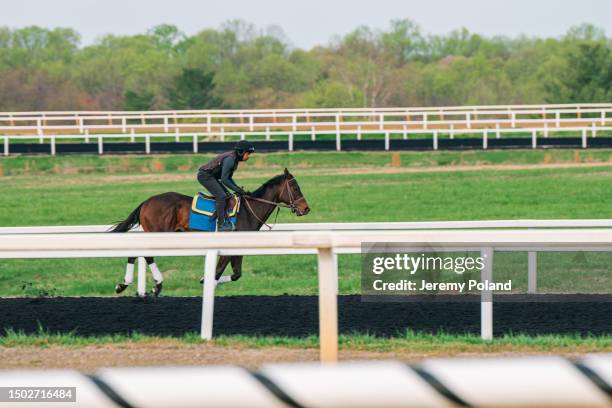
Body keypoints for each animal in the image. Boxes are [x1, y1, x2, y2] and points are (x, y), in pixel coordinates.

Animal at [109, 169, 310, 296]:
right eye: (295, 188)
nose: (306, 209)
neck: (248, 210)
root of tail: (147, 201)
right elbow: (218, 272)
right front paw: (206, 281)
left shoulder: (238, 248)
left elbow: (236, 274)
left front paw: (205, 279)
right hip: (159, 233)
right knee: (147, 255)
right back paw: (156, 285)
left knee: (136, 253)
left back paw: (123, 284)